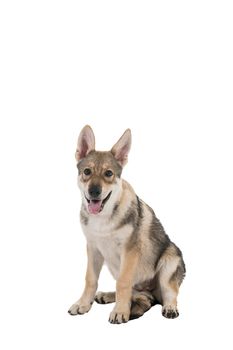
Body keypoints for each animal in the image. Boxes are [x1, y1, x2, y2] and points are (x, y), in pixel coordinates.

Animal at [68, 125, 186, 322]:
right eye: (87, 172)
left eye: (108, 173)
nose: (94, 191)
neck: (103, 217)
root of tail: (150, 294)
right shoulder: (93, 249)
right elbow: (90, 280)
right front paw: (83, 304)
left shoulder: (129, 251)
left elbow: (123, 283)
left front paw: (120, 312)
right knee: (134, 293)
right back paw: (107, 295)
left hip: (169, 261)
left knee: (170, 293)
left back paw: (169, 307)